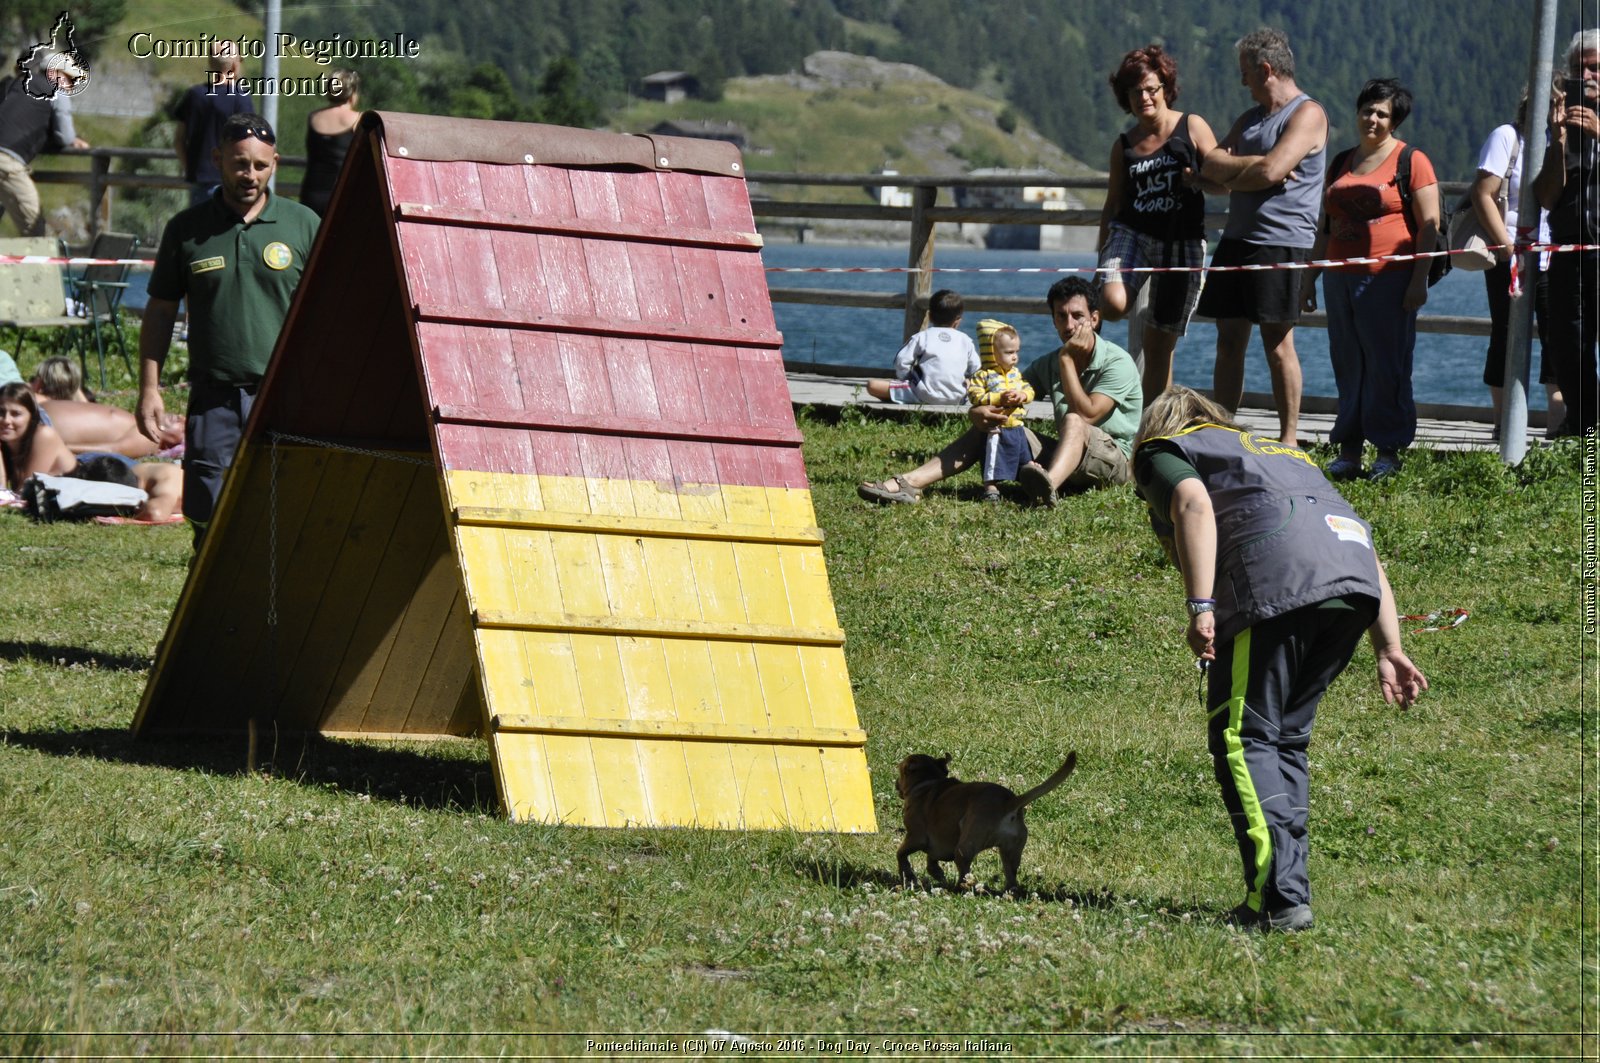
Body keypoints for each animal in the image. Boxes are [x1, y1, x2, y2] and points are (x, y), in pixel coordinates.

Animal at [902, 752, 1075, 890]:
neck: (928, 781)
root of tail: (1008, 802)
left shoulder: (916, 836)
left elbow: (902, 854)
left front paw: (908, 874)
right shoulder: (937, 845)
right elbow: (932, 860)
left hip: (965, 847)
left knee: (965, 871)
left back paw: (959, 888)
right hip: (1010, 852)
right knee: (1011, 876)